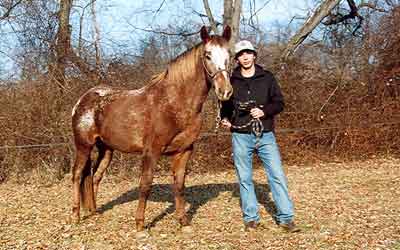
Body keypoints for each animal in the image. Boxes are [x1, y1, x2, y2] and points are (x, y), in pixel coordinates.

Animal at [70, 26, 233, 235]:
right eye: (208, 55)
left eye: (229, 54)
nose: (225, 91)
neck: (173, 102)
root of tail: (83, 100)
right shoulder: (151, 151)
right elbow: (145, 184)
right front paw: (140, 224)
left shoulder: (184, 150)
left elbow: (179, 185)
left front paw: (183, 221)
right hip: (83, 146)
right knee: (77, 175)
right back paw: (75, 216)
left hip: (106, 150)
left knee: (94, 177)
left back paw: (94, 212)